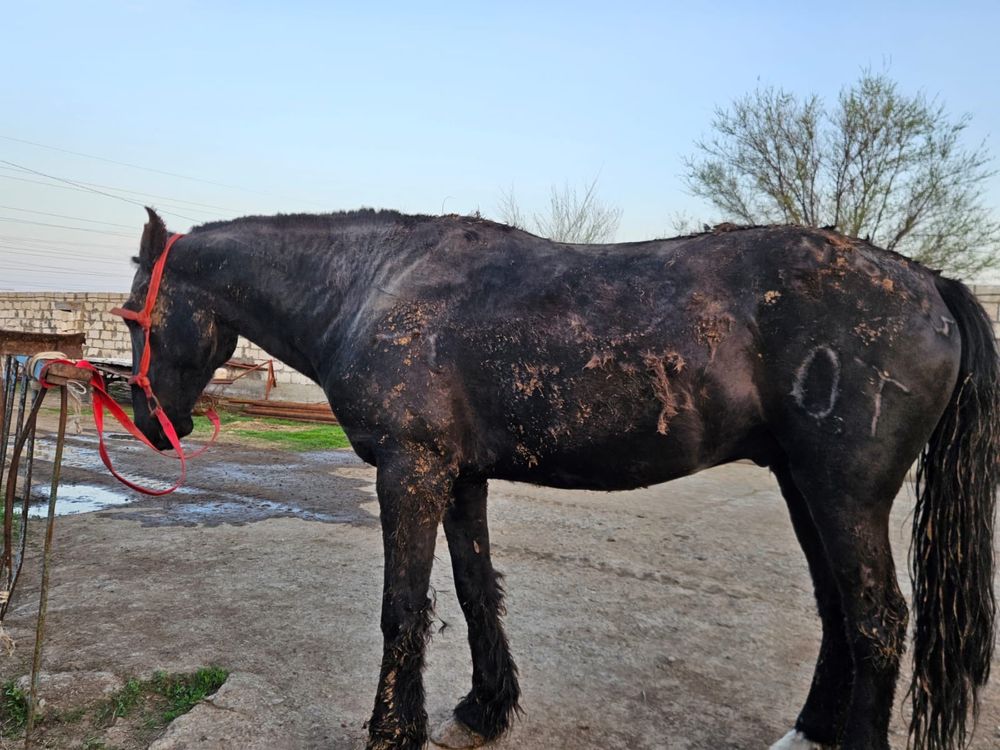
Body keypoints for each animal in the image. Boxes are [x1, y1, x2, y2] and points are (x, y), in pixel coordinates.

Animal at [121, 207, 996, 750]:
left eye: (135, 313)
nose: (152, 423)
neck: (373, 285)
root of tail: (930, 282)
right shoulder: (457, 478)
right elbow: (476, 589)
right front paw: (483, 708)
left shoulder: (410, 474)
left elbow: (402, 609)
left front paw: (393, 729)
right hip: (803, 487)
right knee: (839, 610)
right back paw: (810, 728)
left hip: (845, 496)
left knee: (878, 621)